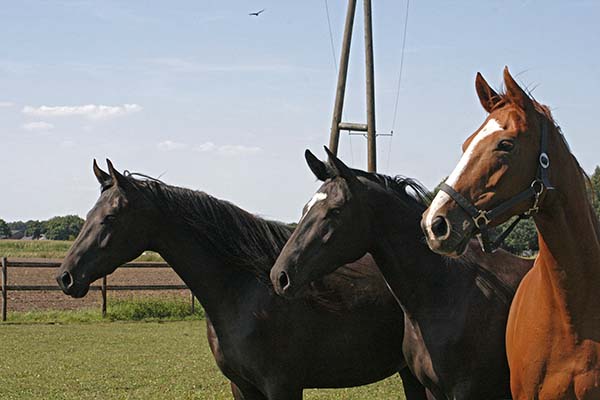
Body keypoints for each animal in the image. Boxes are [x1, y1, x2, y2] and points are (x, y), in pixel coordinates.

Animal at [54, 160, 424, 400]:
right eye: (89, 215)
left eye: (111, 217)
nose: (65, 277)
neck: (245, 295)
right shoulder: (242, 387)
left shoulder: (282, 387)